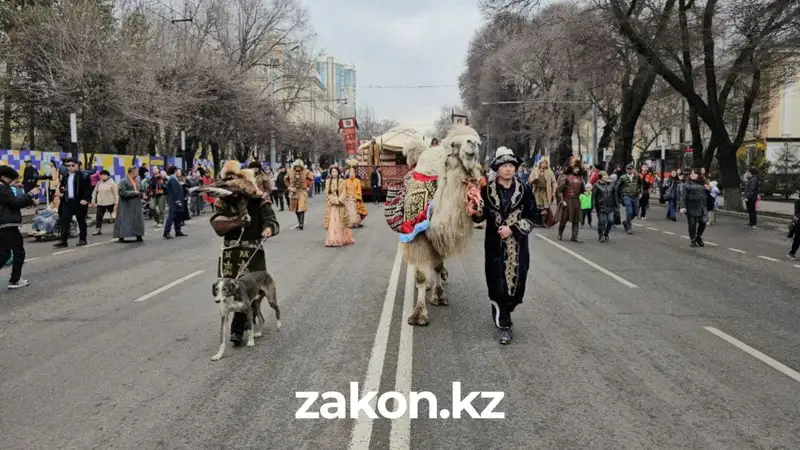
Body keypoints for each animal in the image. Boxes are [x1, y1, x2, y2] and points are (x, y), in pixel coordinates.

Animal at [398, 125, 482, 326]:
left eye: (479, 142)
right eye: (454, 143)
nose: (473, 144)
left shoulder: (440, 236)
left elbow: (437, 265)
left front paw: (439, 295)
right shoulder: (417, 234)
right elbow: (421, 274)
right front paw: (418, 315)